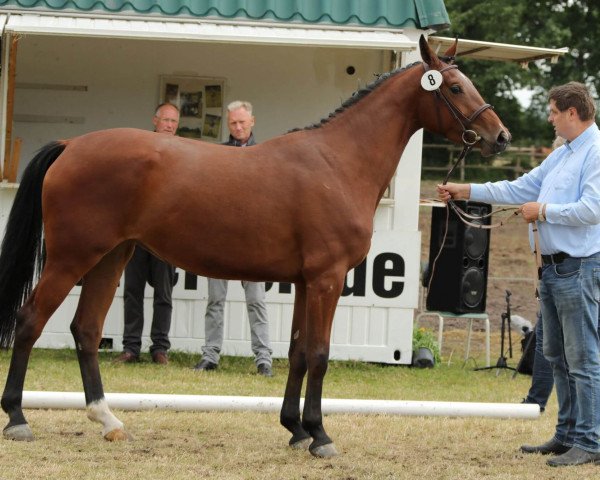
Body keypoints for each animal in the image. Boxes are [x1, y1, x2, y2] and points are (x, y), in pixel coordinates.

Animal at [0, 35, 510, 456]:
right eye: (456, 87)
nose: (500, 137)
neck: (338, 162)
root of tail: (72, 145)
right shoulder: (326, 280)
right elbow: (320, 354)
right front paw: (320, 435)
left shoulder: (306, 282)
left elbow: (299, 352)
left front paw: (295, 429)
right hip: (72, 257)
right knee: (29, 321)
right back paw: (18, 419)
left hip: (110, 257)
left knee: (86, 330)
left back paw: (107, 419)